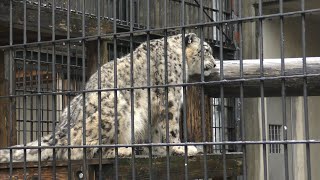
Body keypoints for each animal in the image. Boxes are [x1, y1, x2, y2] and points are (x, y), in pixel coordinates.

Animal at [0, 33, 216, 162]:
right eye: (206, 50)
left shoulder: (155, 108)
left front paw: (160, 151)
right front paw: (181, 148)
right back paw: (122, 150)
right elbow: (171, 126)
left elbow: (156, 129)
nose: (214, 64)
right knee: (79, 151)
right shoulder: (169, 97)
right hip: (116, 108)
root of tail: (61, 130)